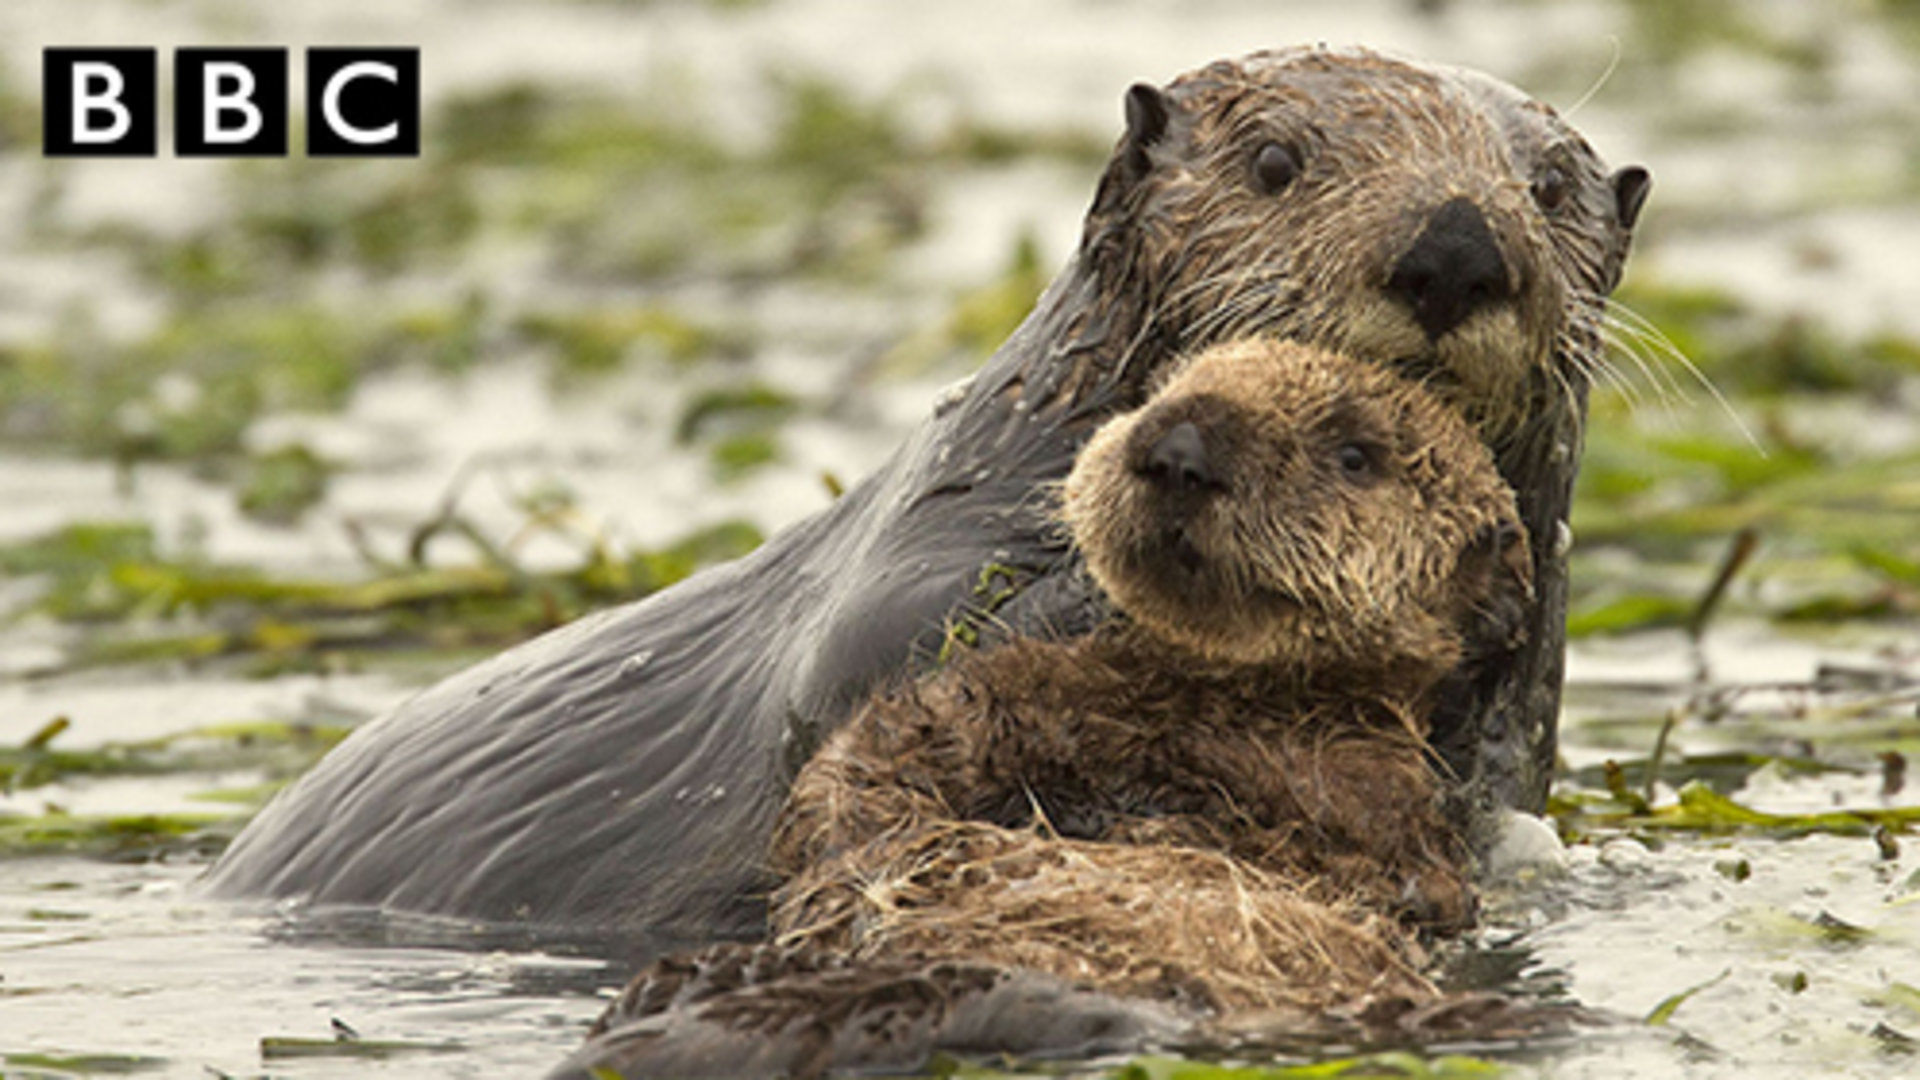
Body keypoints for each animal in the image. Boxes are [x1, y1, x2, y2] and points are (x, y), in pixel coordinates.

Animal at [552, 338, 1528, 1076]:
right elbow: (873, 768)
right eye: (1167, 387)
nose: (1181, 446)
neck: (1212, 700)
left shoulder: (1351, 792)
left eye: (1356, 455)